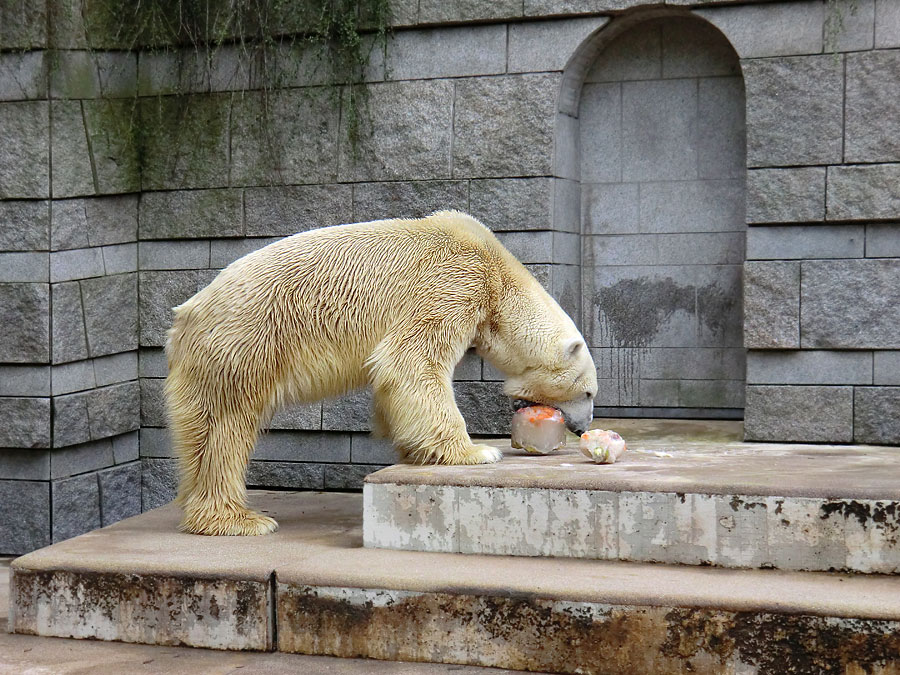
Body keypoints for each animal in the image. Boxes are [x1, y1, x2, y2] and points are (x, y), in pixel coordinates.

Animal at [165, 211, 600, 540]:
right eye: (589, 393)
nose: (582, 428)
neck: (497, 272)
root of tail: (186, 315)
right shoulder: (454, 281)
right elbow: (413, 360)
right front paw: (475, 452)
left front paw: (416, 451)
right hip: (247, 340)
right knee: (228, 425)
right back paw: (238, 520)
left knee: (201, 428)